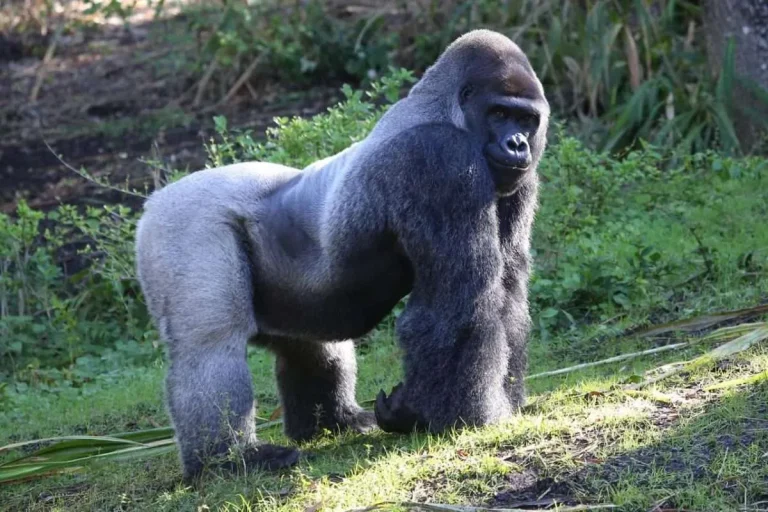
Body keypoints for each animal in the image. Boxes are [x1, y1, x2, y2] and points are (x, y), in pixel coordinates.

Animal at [135, 29, 549, 480]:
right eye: (499, 113)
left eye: (526, 120)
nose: (518, 144)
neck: (447, 110)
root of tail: (154, 199)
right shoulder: (441, 159)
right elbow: (461, 302)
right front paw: (454, 417)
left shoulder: (517, 179)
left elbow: (507, 290)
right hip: (182, 223)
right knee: (210, 345)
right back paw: (225, 460)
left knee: (311, 344)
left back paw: (334, 422)